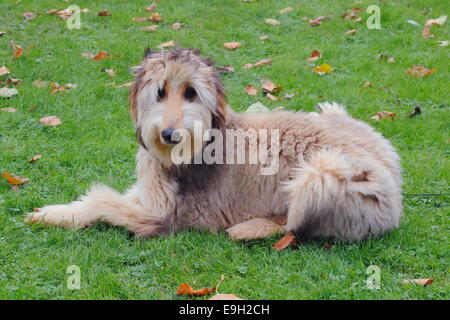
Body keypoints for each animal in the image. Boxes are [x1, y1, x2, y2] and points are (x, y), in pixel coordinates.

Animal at [26, 47, 402, 241]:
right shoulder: (151, 192)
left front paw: (59, 214)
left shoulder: (168, 216)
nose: (170, 135)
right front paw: (58, 212)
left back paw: (250, 228)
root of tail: (397, 182)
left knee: (294, 225)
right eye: (159, 91)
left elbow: (104, 202)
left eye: (191, 92)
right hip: (331, 112)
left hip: (324, 174)